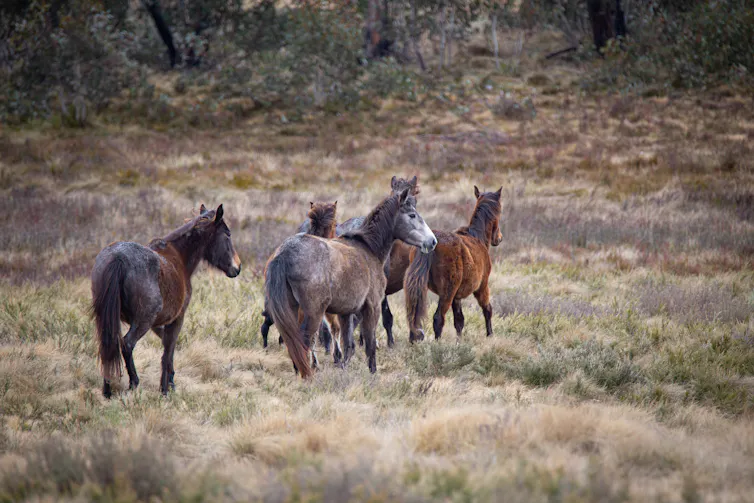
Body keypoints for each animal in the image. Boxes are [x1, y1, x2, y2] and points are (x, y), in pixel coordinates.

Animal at [91, 204, 241, 398]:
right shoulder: (177, 318)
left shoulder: (157, 323)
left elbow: (166, 345)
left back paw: (107, 390)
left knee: (108, 346)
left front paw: (170, 382)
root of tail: (118, 258)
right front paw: (165, 388)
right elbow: (168, 350)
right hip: (142, 322)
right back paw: (133, 382)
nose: (237, 267)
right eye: (227, 234)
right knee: (127, 344)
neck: (179, 258)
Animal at [404, 186, 503, 342]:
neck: (476, 237)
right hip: (447, 292)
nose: (499, 238)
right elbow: (488, 310)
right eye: (500, 211)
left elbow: (459, 320)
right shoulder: (482, 287)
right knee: (438, 318)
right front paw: (490, 335)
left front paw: (459, 341)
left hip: (421, 288)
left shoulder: (457, 297)